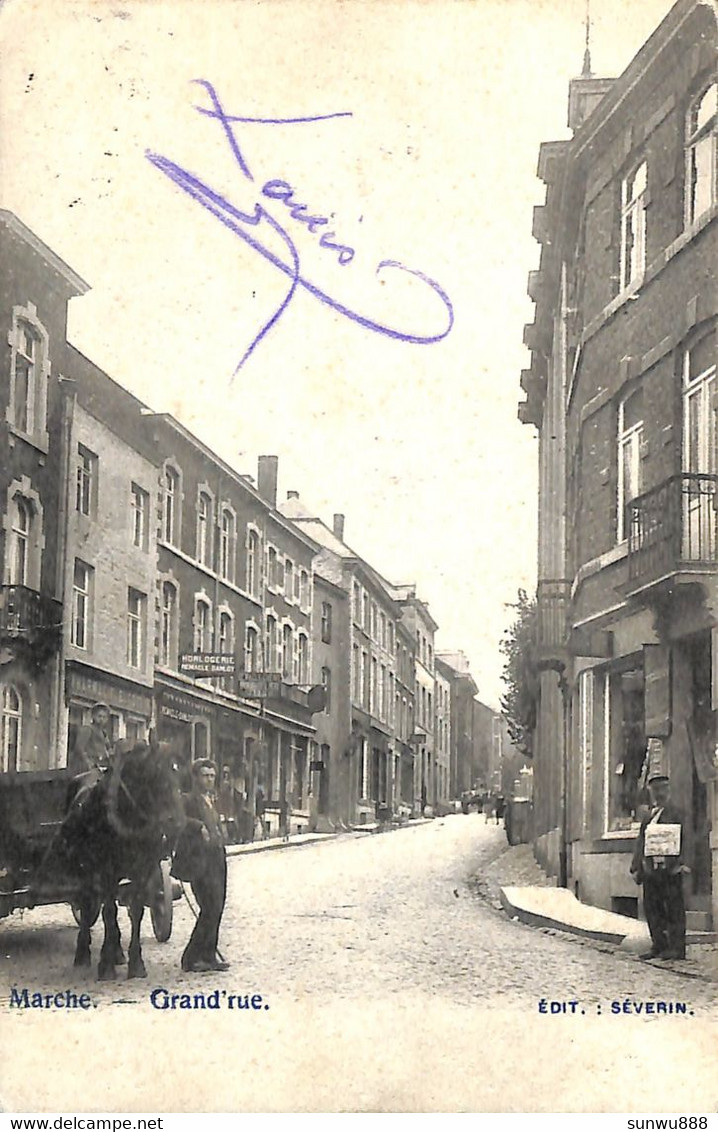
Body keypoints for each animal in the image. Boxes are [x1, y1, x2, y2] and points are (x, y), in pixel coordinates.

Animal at [62, 742, 184, 982]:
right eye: (155, 775)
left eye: (179, 775)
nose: (175, 825)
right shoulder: (107, 870)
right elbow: (109, 911)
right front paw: (106, 966)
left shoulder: (144, 869)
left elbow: (136, 910)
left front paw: (135, 962)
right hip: (86, 869)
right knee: (88, 904)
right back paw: (84, 952)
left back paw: (116, 951)